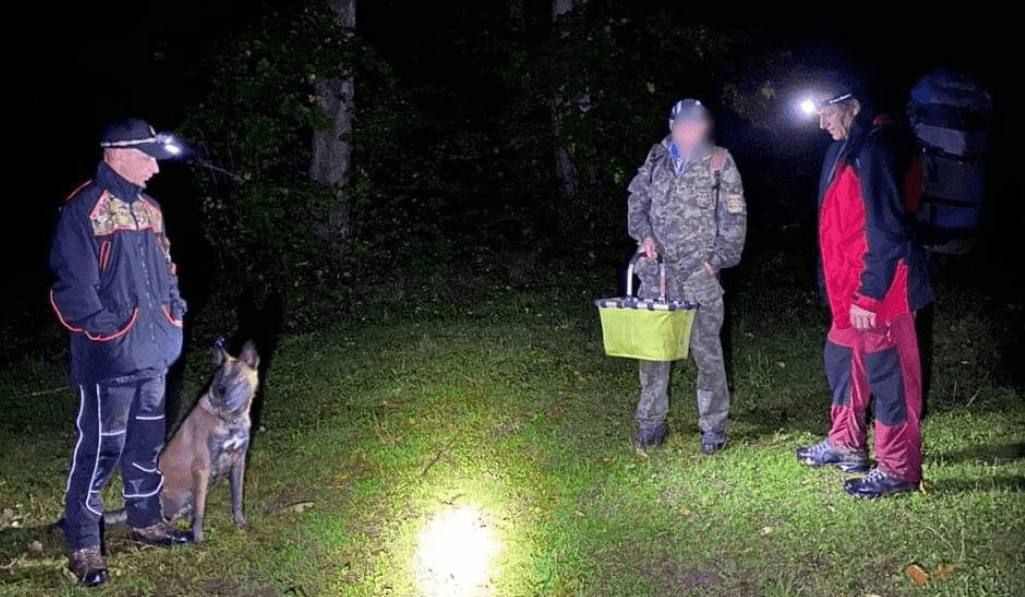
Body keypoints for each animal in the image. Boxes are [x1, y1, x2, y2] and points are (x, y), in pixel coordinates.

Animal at [157, 338, 260, 545]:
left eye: (237, 378)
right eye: (219, 379)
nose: (219, 393)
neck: (230, 420)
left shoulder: (239, 462)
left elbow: (237, 498)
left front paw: (241, 523)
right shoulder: (202, 468)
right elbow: (200, 511)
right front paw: (198, 539)